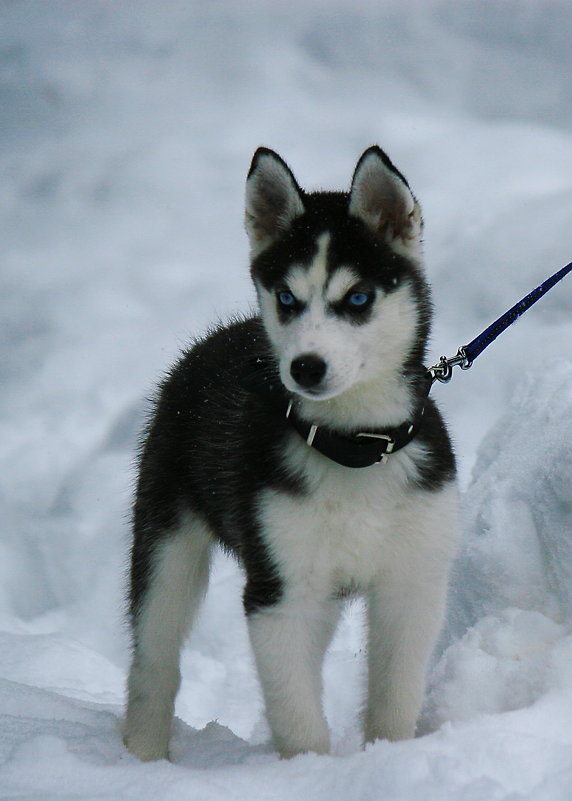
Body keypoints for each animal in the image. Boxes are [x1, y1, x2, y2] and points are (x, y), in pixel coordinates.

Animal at [123, 145, 458, 764]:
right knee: (154, 654)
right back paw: (143, 753)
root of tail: (219, 336)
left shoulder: (414, 580)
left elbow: (395, 695)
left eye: (358, 298)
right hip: (168, 538)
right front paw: (309, 773)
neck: (356, 448)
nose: (304, 367)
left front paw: (389, 758)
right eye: (287, 298)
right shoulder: (279, 593)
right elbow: (299, 719)